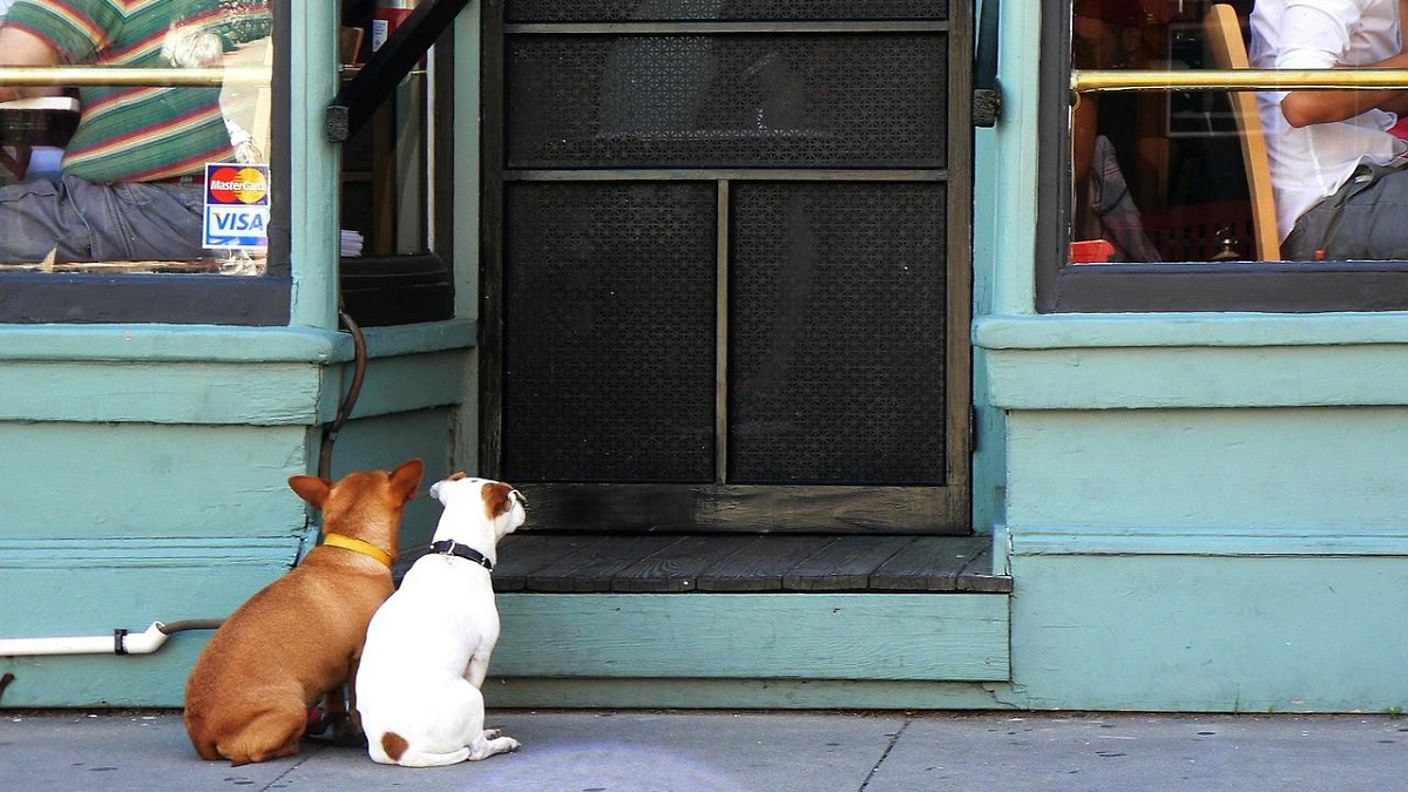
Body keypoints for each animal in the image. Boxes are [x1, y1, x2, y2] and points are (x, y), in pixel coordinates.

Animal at [184, 459, 422, 760]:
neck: (351, 548)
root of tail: (201, 737)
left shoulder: (336, 668)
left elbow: (337, 705)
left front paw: (344, 733)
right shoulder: (358, 657)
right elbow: (357, 705)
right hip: (292, 708)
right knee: (255, 754)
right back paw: (292, 744)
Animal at [352, 470, 529, 760]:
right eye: (512, 499)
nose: (525, 501)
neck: (455, 552)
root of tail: (397, 746)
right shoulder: (481, 655)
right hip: (471, 697)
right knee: (476, 749)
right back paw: (500, 744)